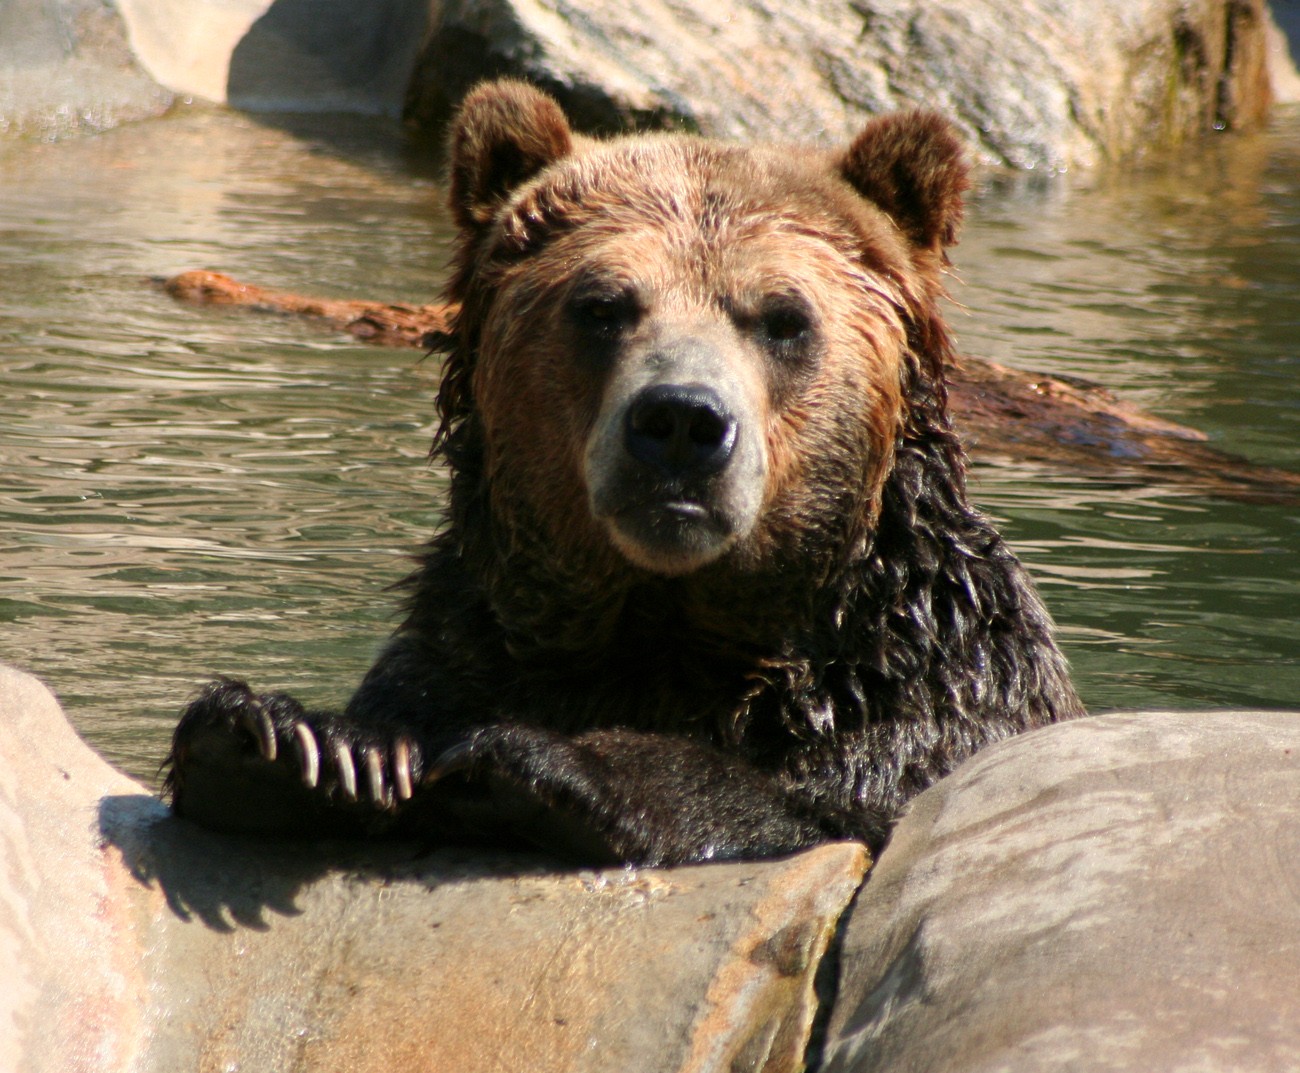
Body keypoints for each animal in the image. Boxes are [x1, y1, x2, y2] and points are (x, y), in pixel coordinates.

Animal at [162, 79, 1086, 863]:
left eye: (783, 317)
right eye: (602, 306)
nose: (679, 422)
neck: (669, 622)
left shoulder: (925, 685)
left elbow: (820, 795)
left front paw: (538, 760)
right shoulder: (469, 644)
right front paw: (296, 741)